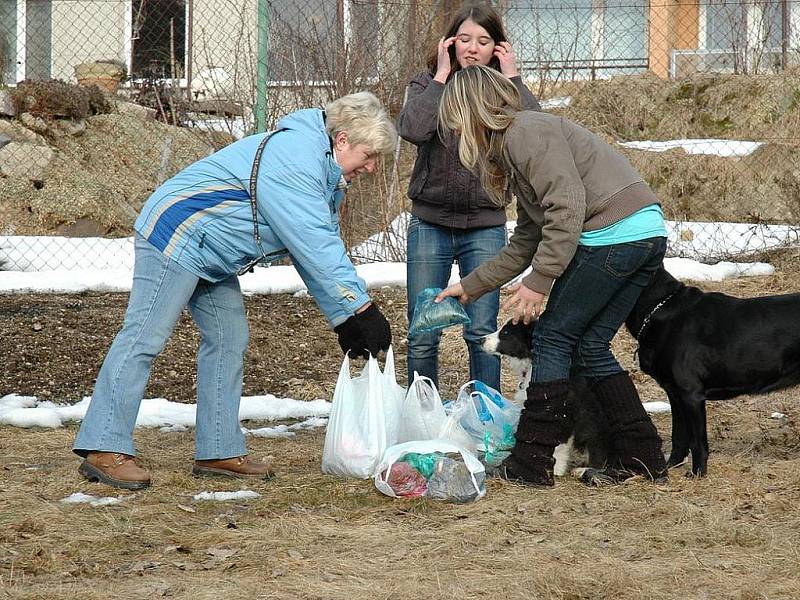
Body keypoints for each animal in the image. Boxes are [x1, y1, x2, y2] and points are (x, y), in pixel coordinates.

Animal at [482, 318, 612, 482]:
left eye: (505, 333)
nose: (480, 340)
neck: (531, 362)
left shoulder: (565, 414)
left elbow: (559, 443)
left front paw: (555, 469)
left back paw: (584, 470)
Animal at [624, 268, 800, 478]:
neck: (660, 310)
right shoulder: (674, 394)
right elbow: (678, 437)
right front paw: (670, 466)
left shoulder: (691, 395)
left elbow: (697, 442)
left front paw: (697, 473)